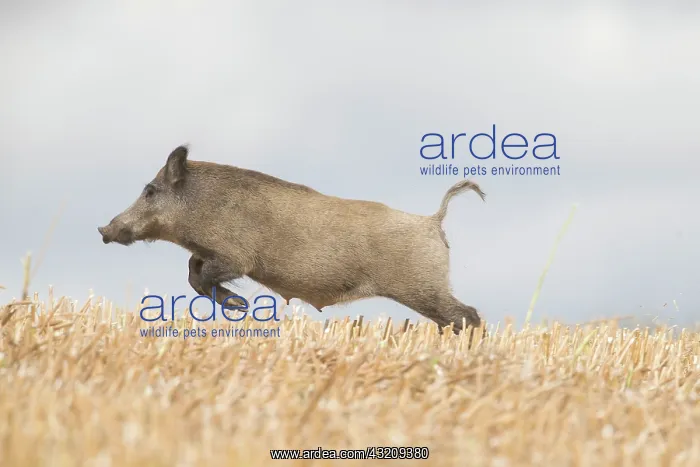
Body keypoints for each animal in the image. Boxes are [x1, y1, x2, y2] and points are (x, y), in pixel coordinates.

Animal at [98, 145, 487, 336]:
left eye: (150, 190)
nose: (103, 230)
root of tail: (433, 220)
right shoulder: (210, 254)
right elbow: (193, 272)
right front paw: (239, 306)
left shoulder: (238, 257)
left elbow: (201, 274)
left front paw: (240, 305)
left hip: (423, 286)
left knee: (467, 315)